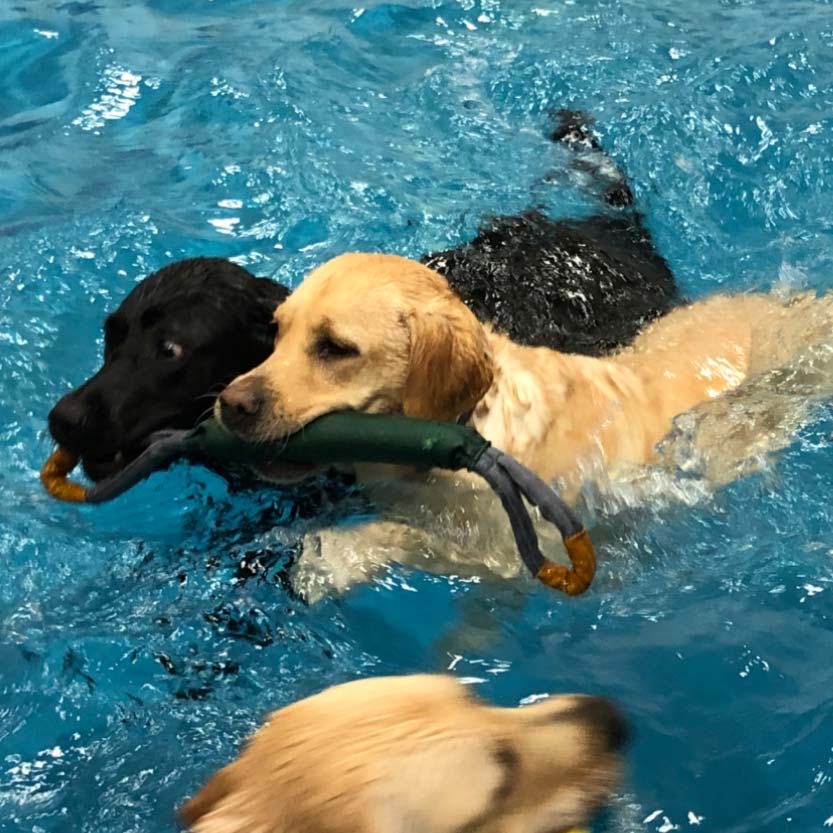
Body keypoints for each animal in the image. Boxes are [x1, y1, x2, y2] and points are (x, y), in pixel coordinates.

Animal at [216, 250, 832, 596]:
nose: (229, 404)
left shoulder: (511, 551)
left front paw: (329, 559)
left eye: (336, 347)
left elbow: (409, 537)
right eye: (276, 330)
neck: (467, 425)